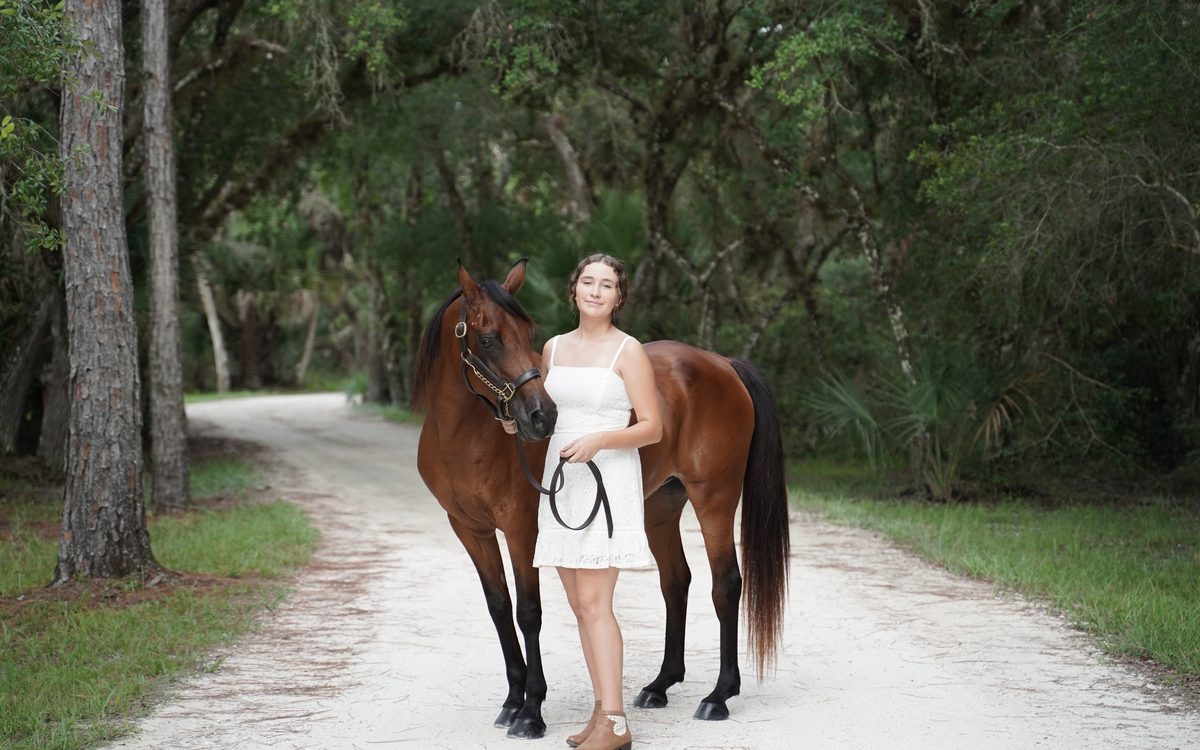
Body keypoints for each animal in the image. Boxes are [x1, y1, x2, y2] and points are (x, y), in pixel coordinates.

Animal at [413, 259, 790, 739]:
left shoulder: (520, 528)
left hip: (715, 500)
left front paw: (530, 712)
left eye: (529, 333)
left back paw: (719, 696)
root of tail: (723, 364)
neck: (466, 437)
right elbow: (499, 609)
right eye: (488, 338)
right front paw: (512, 700)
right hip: (662, 506)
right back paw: (659, 685)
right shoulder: (469, 530)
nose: (542, 416)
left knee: (726, 584)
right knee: (676, 582)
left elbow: (529, 612)